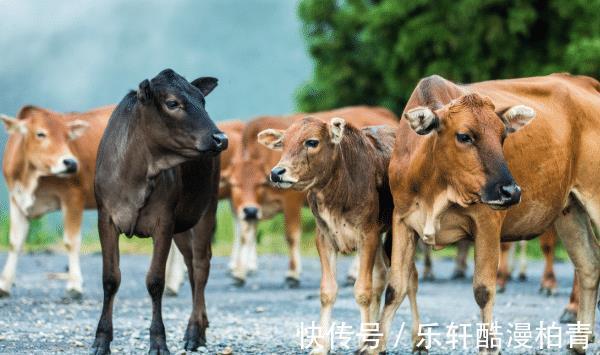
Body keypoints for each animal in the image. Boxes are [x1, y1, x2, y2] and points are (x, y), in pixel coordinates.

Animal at [0, 105, 113, 298]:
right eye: (40, 134)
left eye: (68, 137)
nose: (71, 163)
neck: (30, 176)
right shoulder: (16, 198)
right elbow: (15, 241)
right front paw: (4, 284)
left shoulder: (74, 196)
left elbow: (71, 241)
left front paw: (74, 285)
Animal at [227, 107, 400, 288]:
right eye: (234, 184)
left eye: (259, 183)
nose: (276, 173)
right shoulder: (249, 208)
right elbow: (245, 235)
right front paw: (239, 273)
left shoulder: (291, 201)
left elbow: (291, 235)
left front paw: (292, 274)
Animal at [258, 118, 422, 354]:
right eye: (283, 143)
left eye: (312, 142)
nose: (277, 172)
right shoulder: (324, 237)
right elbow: (328, 291)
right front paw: (321, 345)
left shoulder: (367, 235)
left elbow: (363, 291)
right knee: (381, 277)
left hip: (398, 232)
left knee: (410, 278)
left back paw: (418, 341)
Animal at [380, 73, 600, 354]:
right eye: (464, 136)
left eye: (503, 135)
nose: (511, 191)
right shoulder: (402, 222)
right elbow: (395, 288)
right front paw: (372, 345)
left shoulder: (486, 222)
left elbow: (483, 290)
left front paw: (489, 346)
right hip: (570, 210)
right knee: (589, 263)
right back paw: (579, 341)